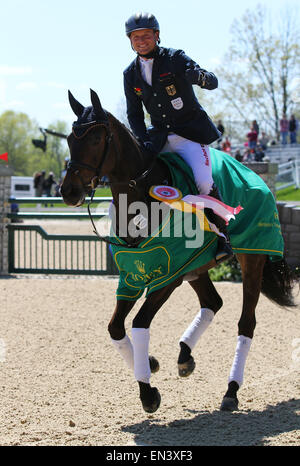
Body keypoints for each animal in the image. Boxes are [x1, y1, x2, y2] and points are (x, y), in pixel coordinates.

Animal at [61, 89, 298, 414]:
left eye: (96, 139)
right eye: (70, 139)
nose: (68, 192)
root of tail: (253, 174)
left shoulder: (167, 277)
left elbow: (139, 324)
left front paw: (147, 392)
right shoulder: (132, 277)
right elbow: (115, 327)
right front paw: (148, 363)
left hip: (252, 258)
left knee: (246, 323)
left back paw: (231, 390)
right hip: (196, 267)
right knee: (213, 302)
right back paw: (185, 356)